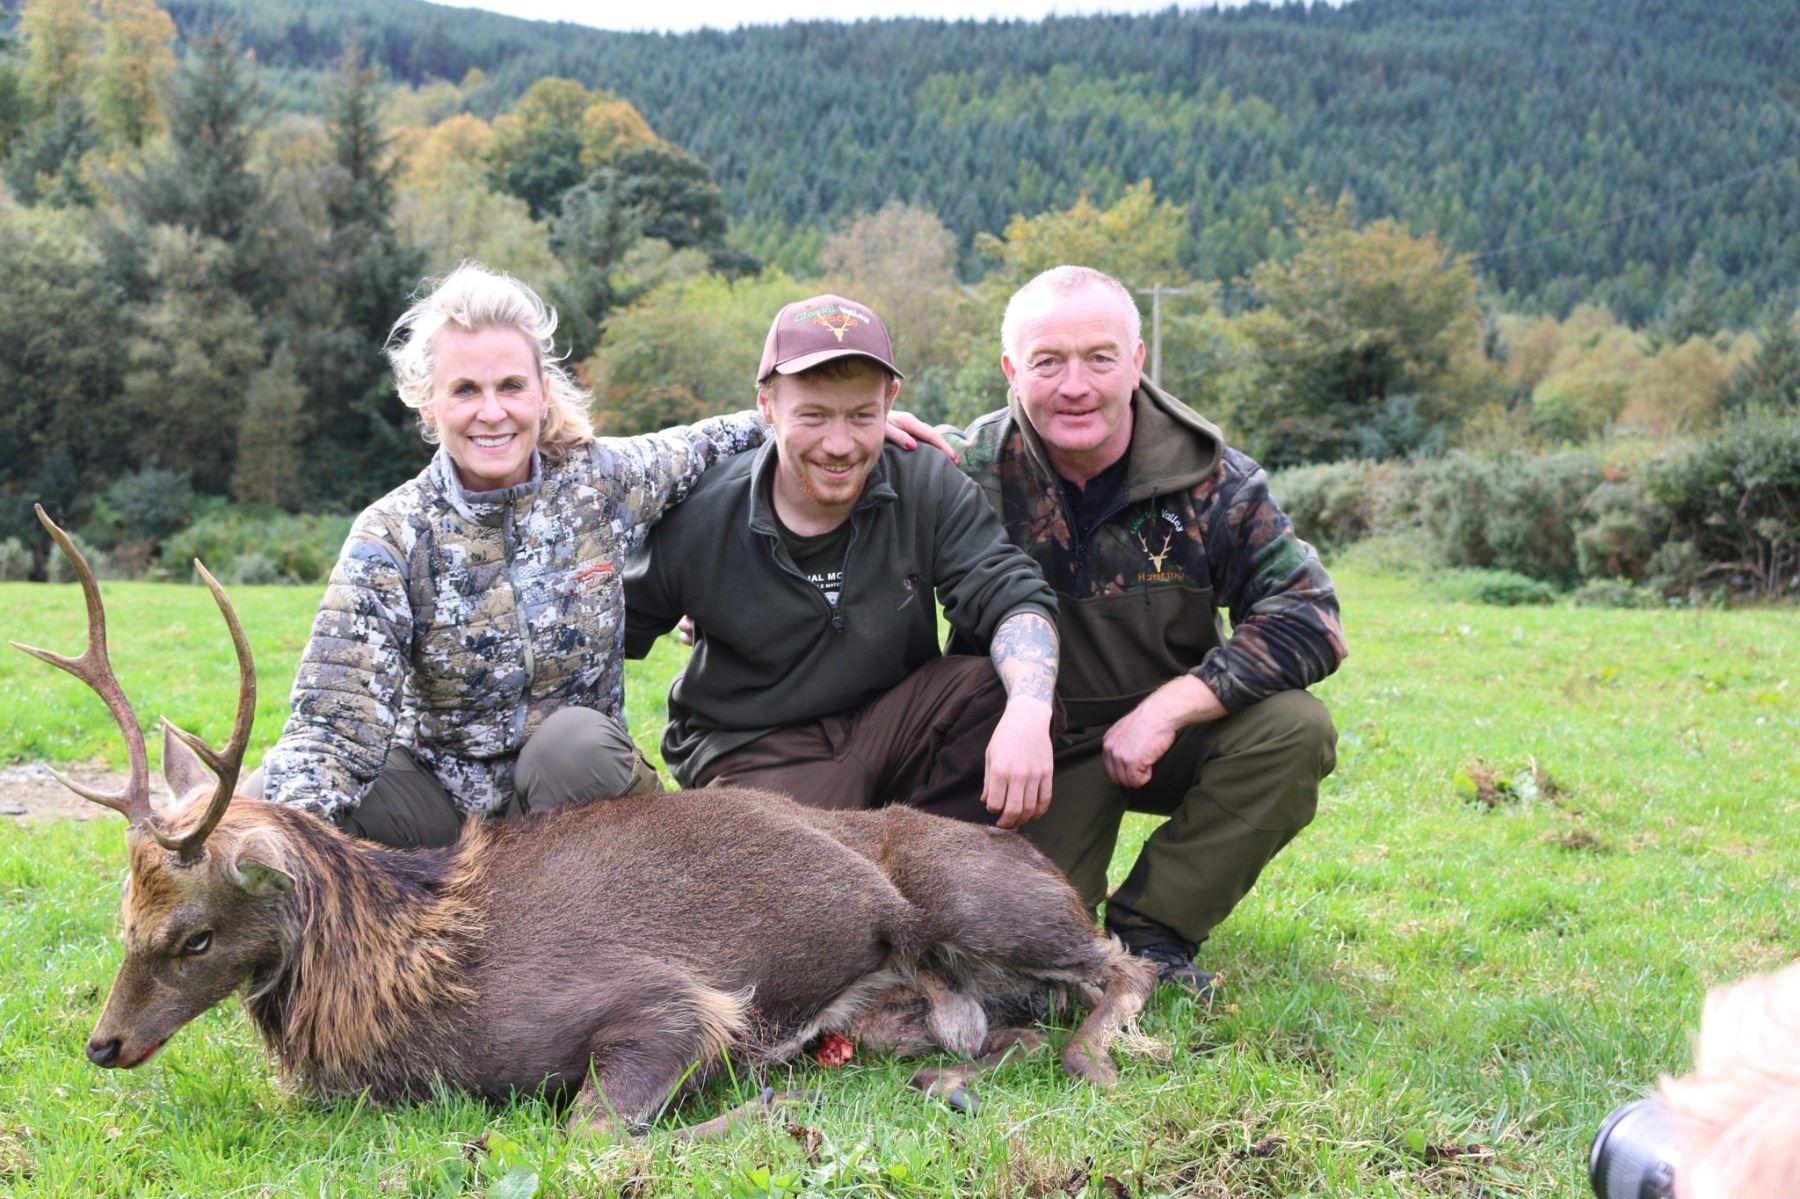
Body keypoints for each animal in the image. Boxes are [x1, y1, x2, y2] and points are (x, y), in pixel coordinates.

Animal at [14, 507, 1156, 1138]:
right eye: (124, 921)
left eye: (193, 934)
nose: (103, 1043)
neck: (394, 980)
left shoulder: (666, 999)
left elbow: (591, 1133)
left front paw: (767, 1112)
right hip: (926, 996)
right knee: (998, 1025)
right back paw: (955, 1072)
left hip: (977, 894)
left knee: (1122, 959)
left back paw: (1099, 1055)